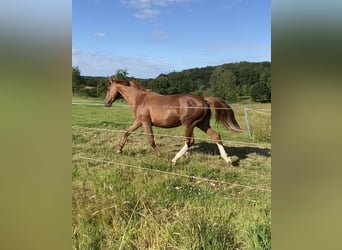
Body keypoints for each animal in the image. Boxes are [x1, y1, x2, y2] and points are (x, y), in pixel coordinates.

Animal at [105, 77, 243, 164]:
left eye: (108, 89)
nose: (106, 103)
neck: (140, 98)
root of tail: (204, 100)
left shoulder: (145, 122)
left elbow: (151, 140)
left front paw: (161, 156)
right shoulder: (138, 121)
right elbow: (126, 133)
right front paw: (119, 150)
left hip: (188, 124)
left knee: (190, 141)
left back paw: (174, 160)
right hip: (202, 124)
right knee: (216, 136)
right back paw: (227, 159)